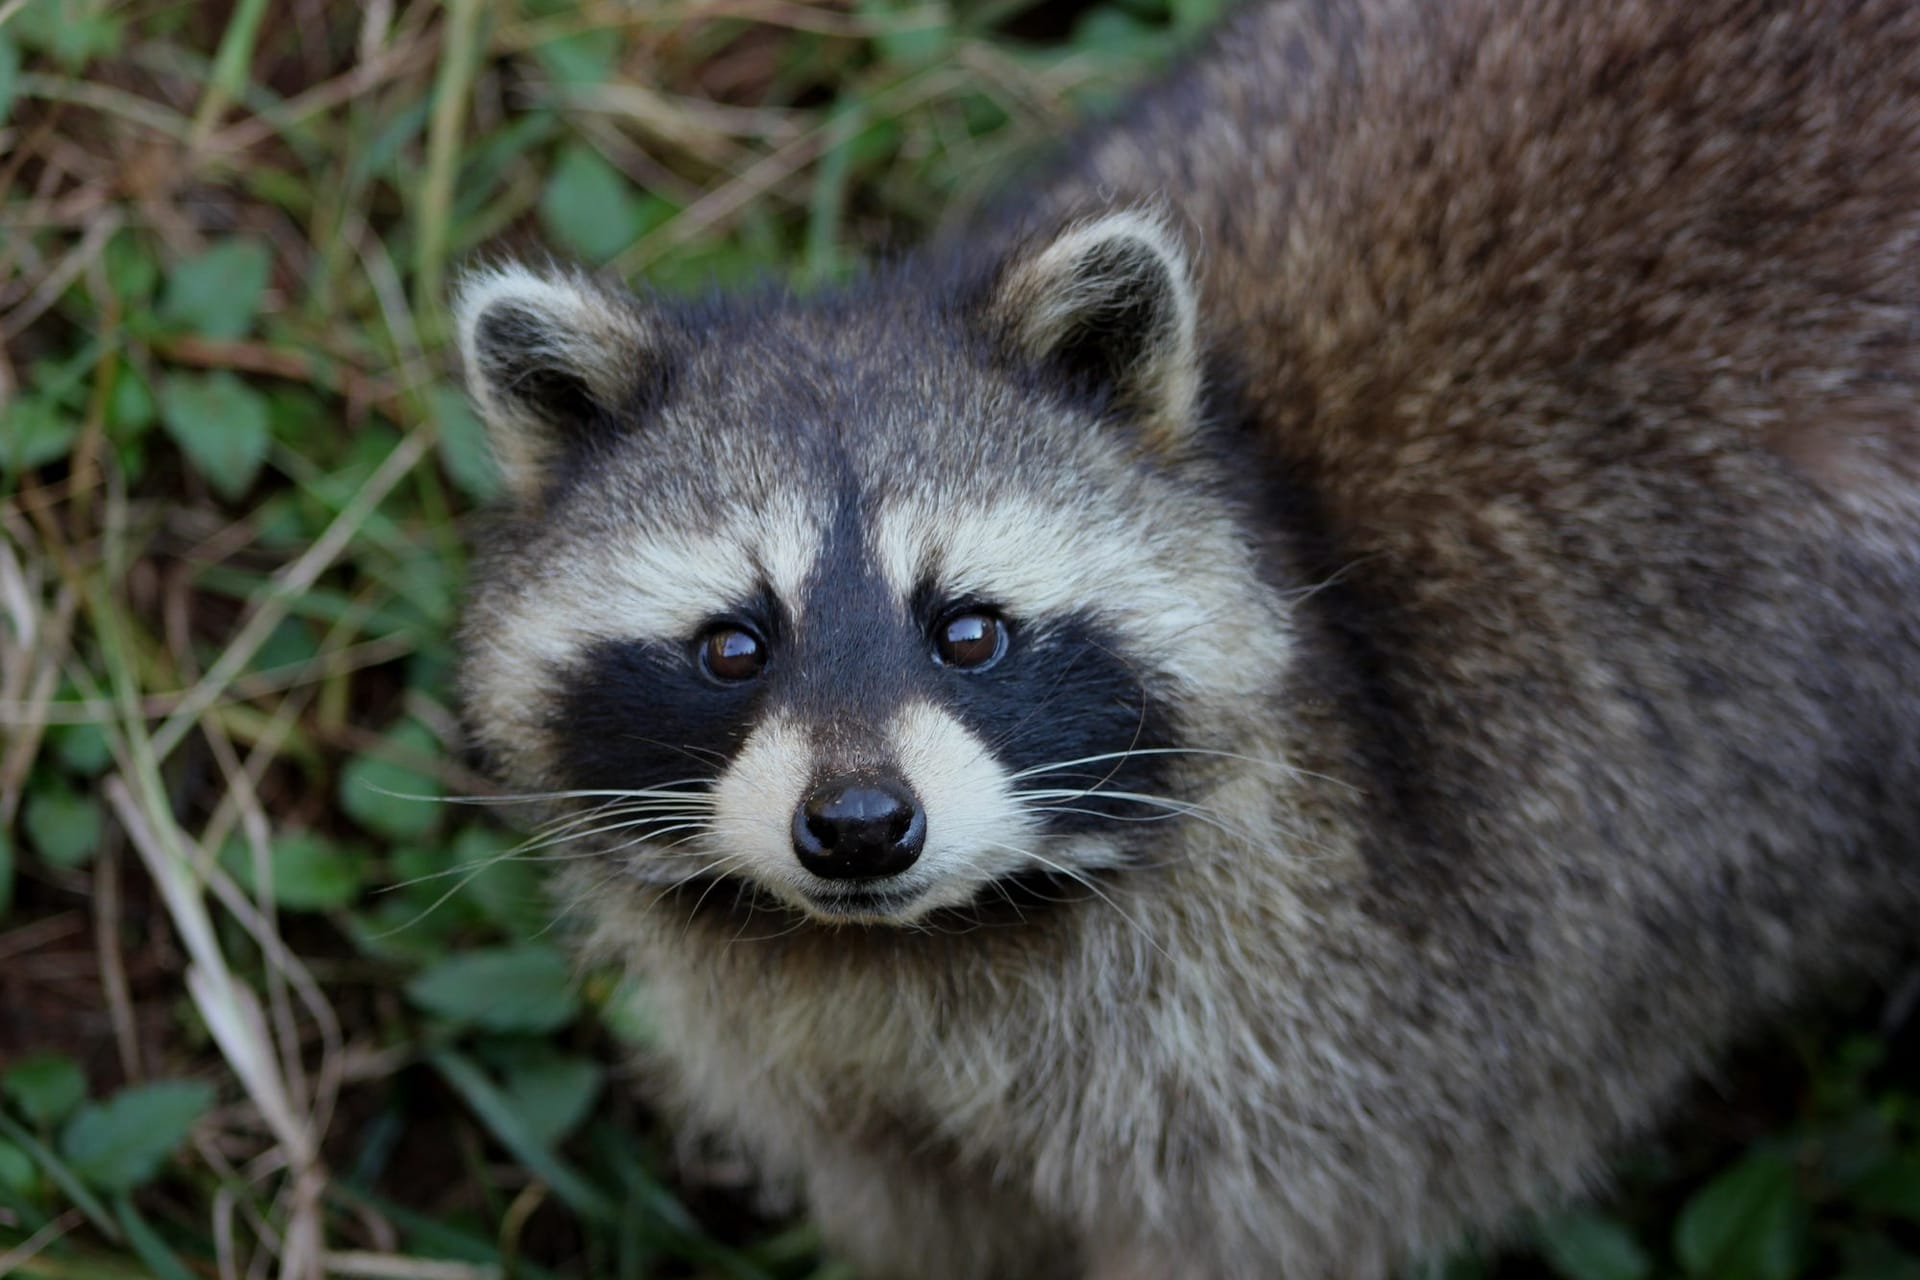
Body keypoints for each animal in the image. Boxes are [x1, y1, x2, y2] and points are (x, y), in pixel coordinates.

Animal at [451, 0, 1920, 1275]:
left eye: (968, 631)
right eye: (734, 647)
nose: (861, 826)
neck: (923, 944)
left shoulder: (1349, 1041)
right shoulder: (850, 1093)